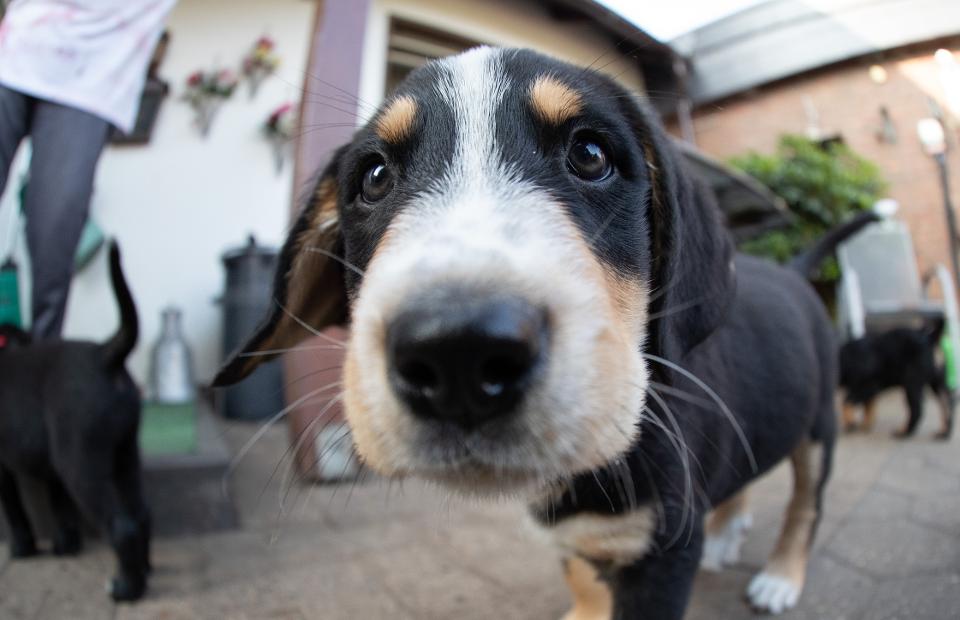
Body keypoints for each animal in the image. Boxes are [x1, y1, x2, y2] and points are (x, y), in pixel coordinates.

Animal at [0, 243, 150, 600]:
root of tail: (105, 354)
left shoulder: (4, 467)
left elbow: (14, 510)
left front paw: (23, 548)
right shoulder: (52, 467)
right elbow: (61, 507)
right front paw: (66, 545)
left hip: (79, 462)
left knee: (122, 525)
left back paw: (127, 588)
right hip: (124, 452)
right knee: (141, 514)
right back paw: (145, 570)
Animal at [216, 49, 872, 620]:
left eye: (590, 154)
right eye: (374, 177)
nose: (459, 354)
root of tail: (793, 272)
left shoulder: (663, 552)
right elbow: (580, 573)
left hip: (820, 427)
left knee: (806, 506)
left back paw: (780, 577)